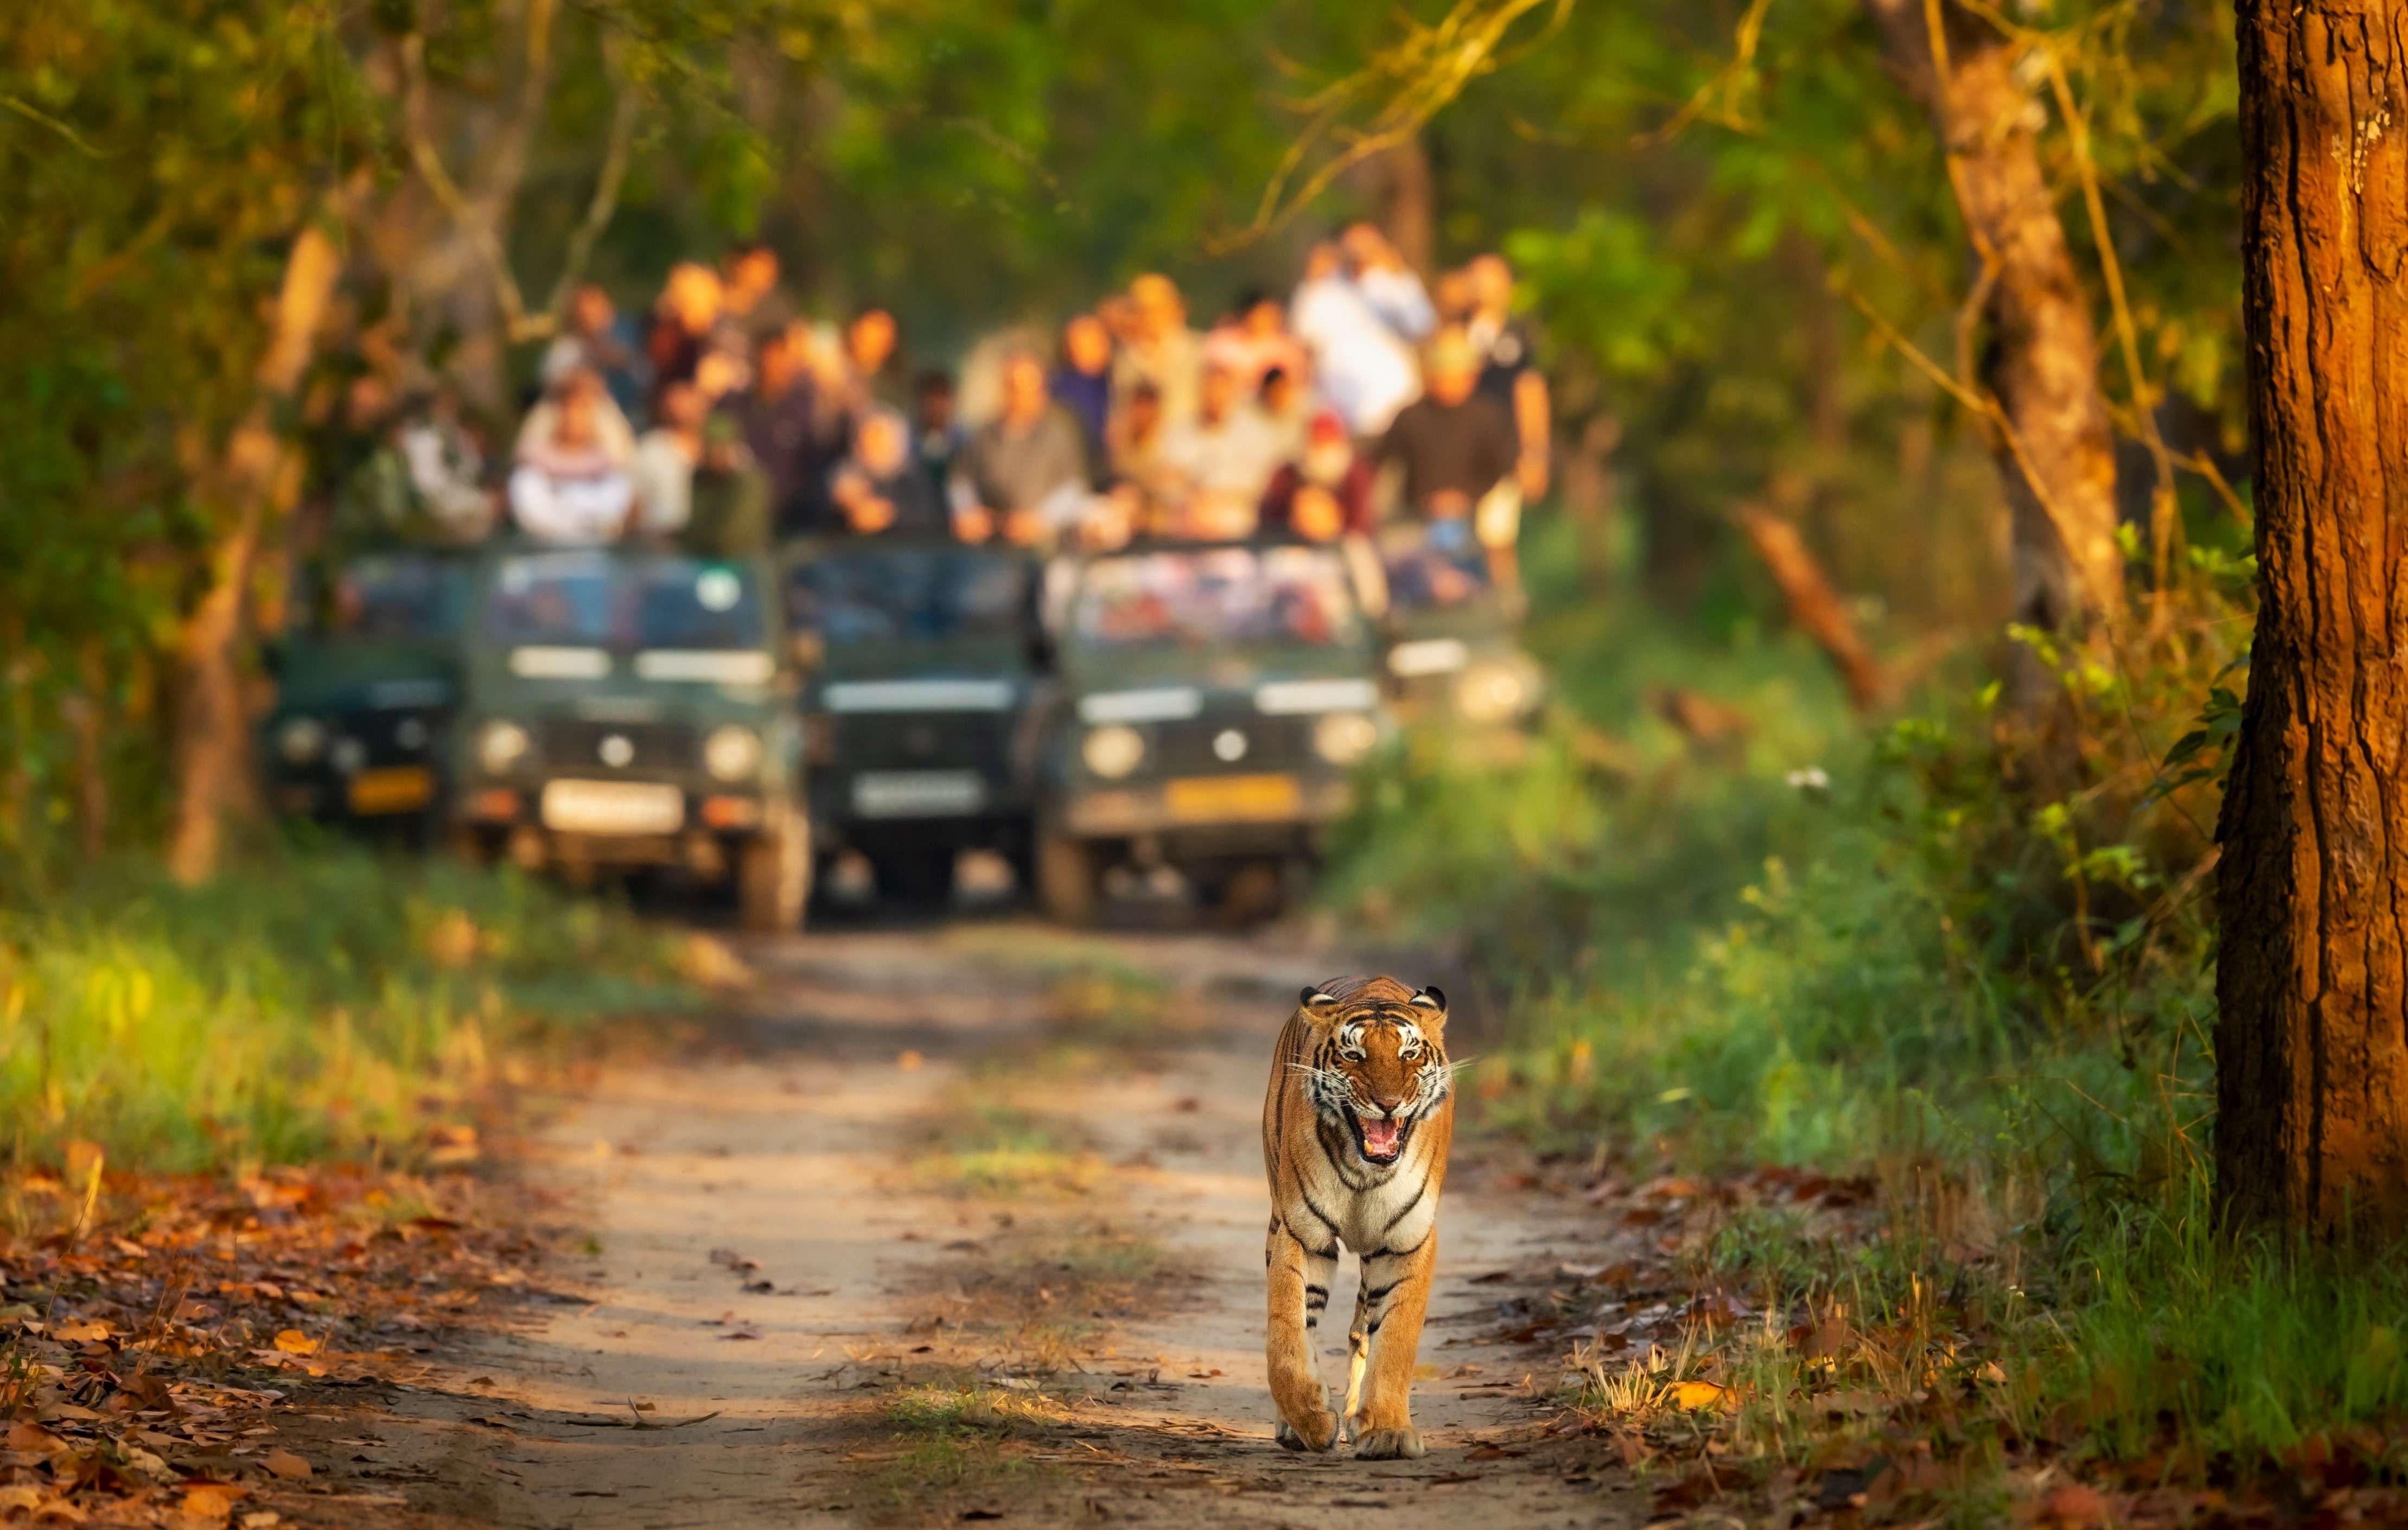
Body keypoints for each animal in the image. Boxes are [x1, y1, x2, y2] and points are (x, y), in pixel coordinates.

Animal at [1261, 975, 1454, 1459]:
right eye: (1354, 1056)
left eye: (1409, 1054)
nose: (1388, 1103)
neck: (1366, 1171)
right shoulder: (1302, 1235)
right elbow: (1287, 1336)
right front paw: (1311, 1420)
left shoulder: (1407, 1242)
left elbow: (1396, 1339)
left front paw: (1386, 1431)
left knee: (1362, 1331)